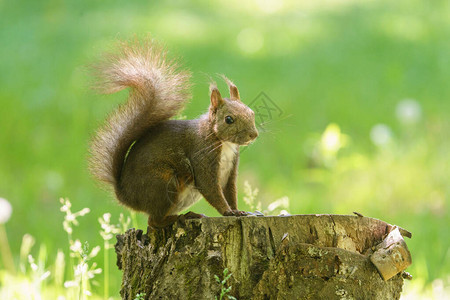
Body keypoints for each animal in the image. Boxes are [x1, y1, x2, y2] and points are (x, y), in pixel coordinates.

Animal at [88, 39, 258, 227]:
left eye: (251, 113)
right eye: (229, 119)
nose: (253, 135)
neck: (223, 142)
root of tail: (126, 196)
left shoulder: (231, 168)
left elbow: (230, 190)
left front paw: (238, 211)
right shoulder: (202, 156)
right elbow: (210, 188)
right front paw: (227, 211)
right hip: (164, 184)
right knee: (154, 221)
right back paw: (182, 217)